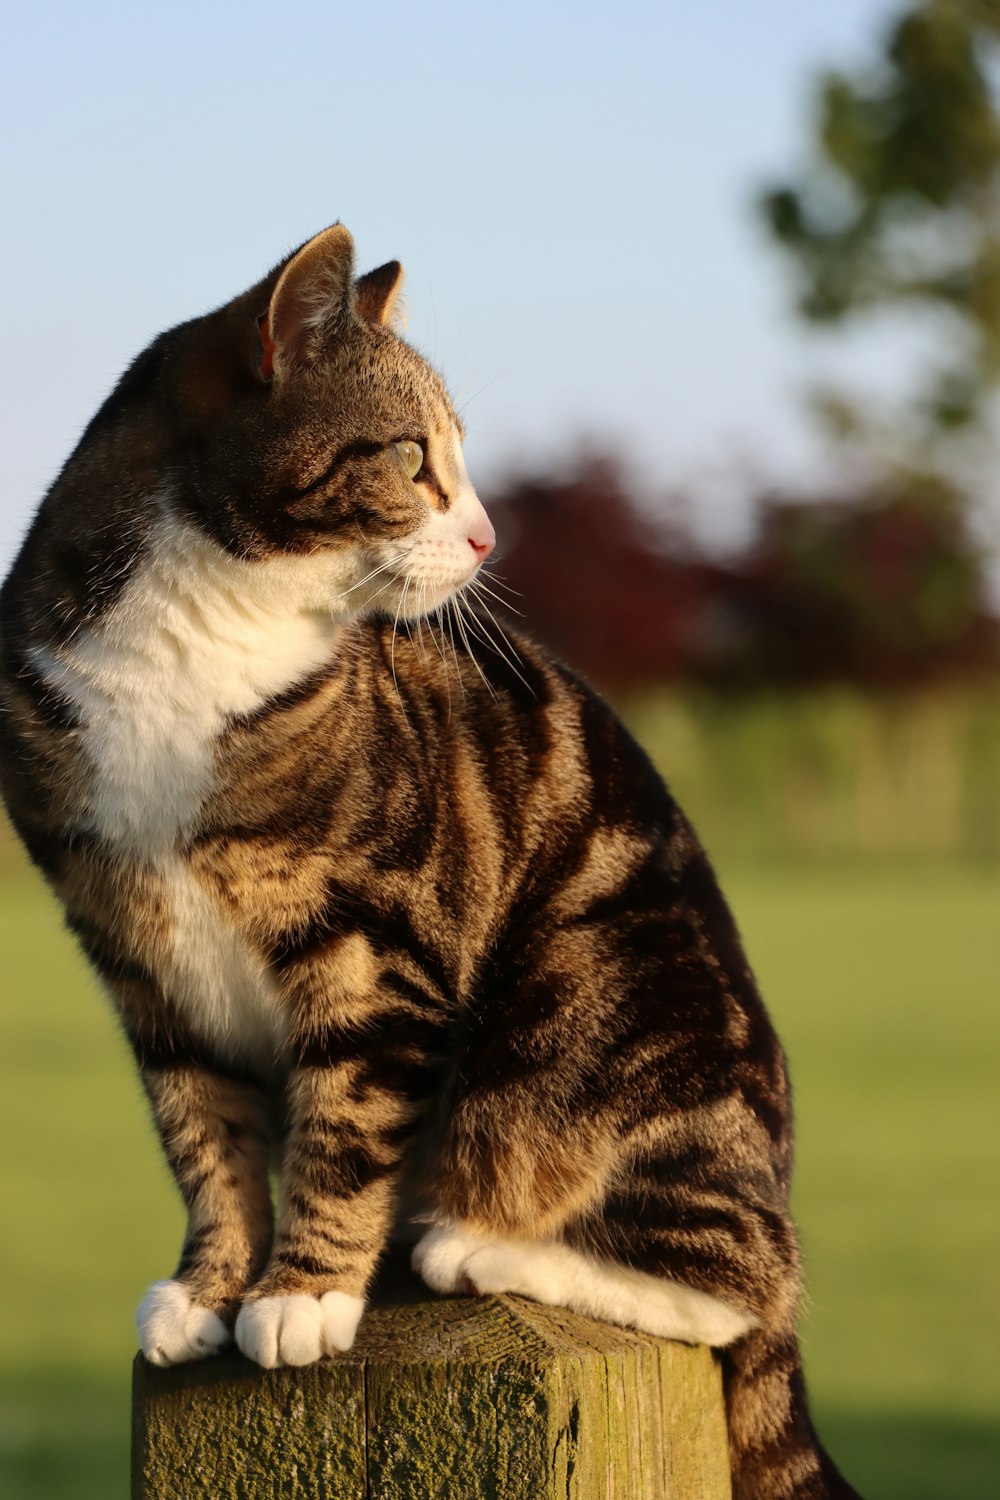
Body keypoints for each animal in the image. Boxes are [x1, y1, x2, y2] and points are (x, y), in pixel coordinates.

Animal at [0, 222, 863, 1500]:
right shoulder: (136, 956)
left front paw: (302, 1294)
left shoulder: (379, 941)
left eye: (456, 461)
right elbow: (204, 1134)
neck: (198, 642)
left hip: (585, 1011)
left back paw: (475, 1243)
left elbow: (343, 1121)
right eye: (414, 458)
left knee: (743, 1280)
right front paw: (210, 1286)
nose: (485, 534)